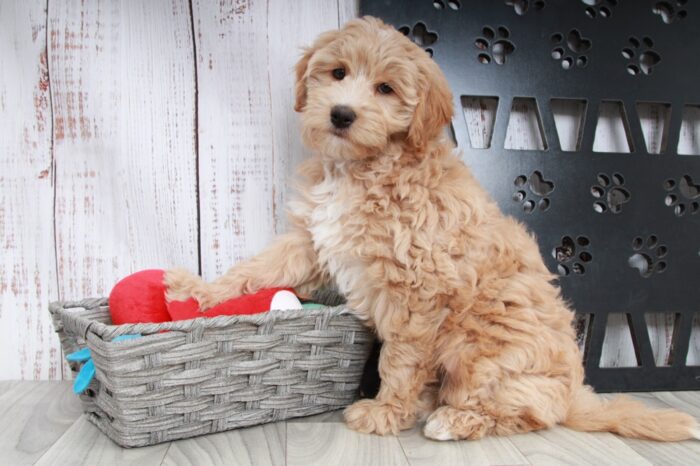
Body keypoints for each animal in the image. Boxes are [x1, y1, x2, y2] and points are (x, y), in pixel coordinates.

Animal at [165, 17, 700, 440]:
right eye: (338, 73)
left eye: (385, 89)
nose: (341, 114)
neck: (365, 169)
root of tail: (574, 394)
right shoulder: (312, 239)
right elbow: (259, 268)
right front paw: (200, 292)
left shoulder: (417, 288)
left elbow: (399, 360)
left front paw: (384, 412)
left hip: (484, 356)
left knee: (522, 414)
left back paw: (453, 420)